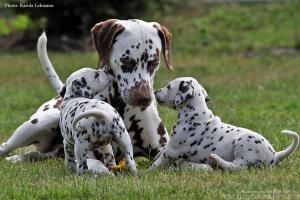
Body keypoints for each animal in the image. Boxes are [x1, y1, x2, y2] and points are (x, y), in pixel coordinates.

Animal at [0, 19, 171, 167]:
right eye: (126, 61)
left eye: (154, 62)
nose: (143, 98)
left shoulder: (161, 148)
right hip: (37, 124)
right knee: (6, 147)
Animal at [151, 77, 298, 170]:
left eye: (169, 86)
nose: (155, 91)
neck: (195, 114)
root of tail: (274, 155)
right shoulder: (169, 148)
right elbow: (160, 152)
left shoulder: (172, 150)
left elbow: (157, 162)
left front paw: (149, 172)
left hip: (243, 144)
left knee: (237, 167)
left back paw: (216, 159)